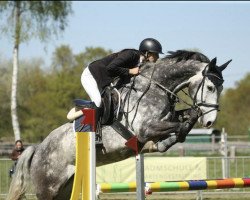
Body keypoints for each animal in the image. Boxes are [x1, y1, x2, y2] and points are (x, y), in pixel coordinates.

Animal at [7, 50, 230, 200]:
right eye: (211, 87)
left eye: (221, 88)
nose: (209, 121)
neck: (155, 87)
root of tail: (37, 149)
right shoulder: (146, 129)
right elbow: (177, 127)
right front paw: (164, 141)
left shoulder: (166, 118)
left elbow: (185, 118)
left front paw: (168, 139)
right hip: (48, 189)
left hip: (66, 187)